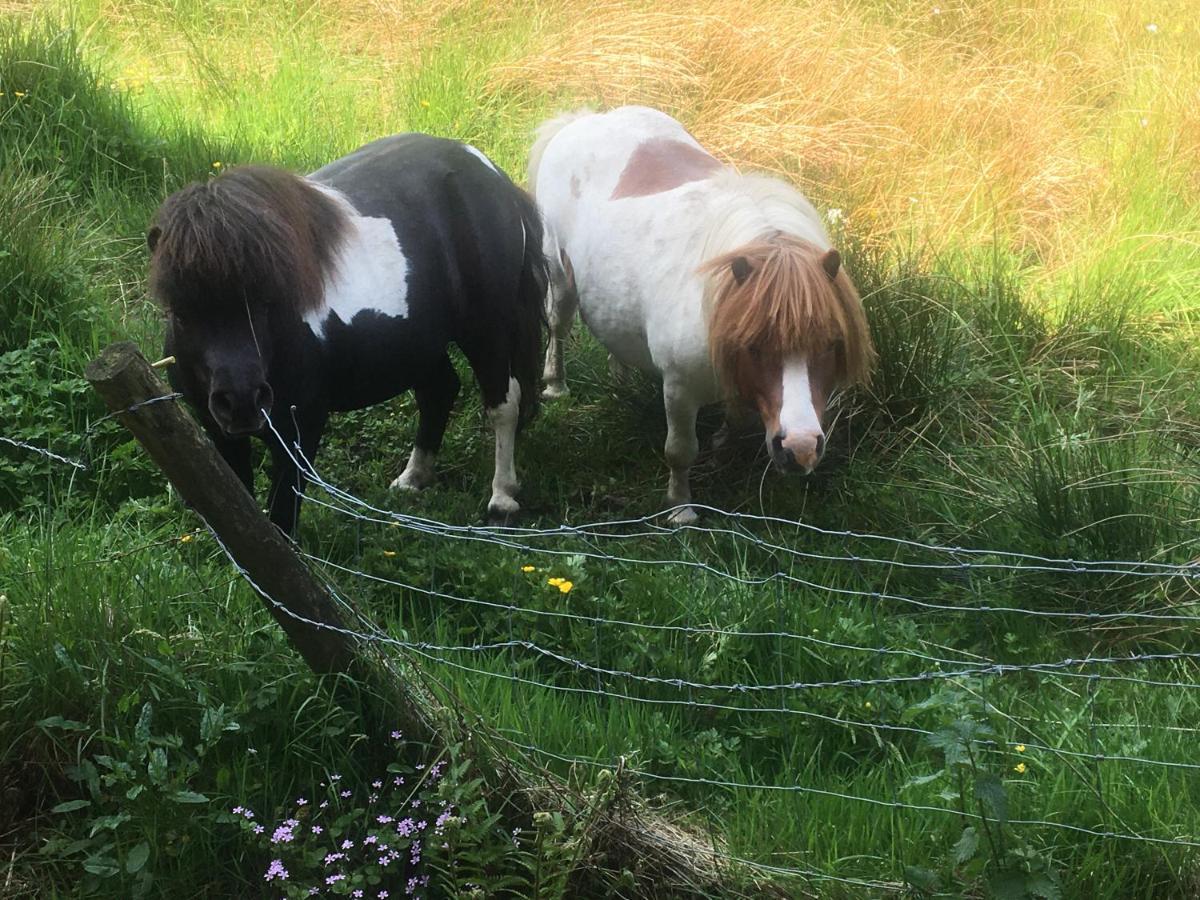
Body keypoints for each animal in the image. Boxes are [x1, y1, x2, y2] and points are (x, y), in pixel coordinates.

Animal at [146, 133, 552, 535]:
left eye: (267, 301)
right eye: (179, 312)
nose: (242, 401)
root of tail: (486, 170)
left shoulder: (300, 430)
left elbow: (281, 517)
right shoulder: (218, 433)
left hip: (487, 329)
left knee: (503, 403)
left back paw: (502, 499)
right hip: (419, 345)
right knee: (439, 392)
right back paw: (413, 479)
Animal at [532, 105, 873, 525]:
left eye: (829, 343)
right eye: (756, 346)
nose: (801, 448)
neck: (713, 295)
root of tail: (582, 120)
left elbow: (736, 420)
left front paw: (721, 447)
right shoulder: (679, 389)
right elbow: (680, 450)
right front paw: (680, 509)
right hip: (560, 273)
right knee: (558, 325)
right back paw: (556, 385)